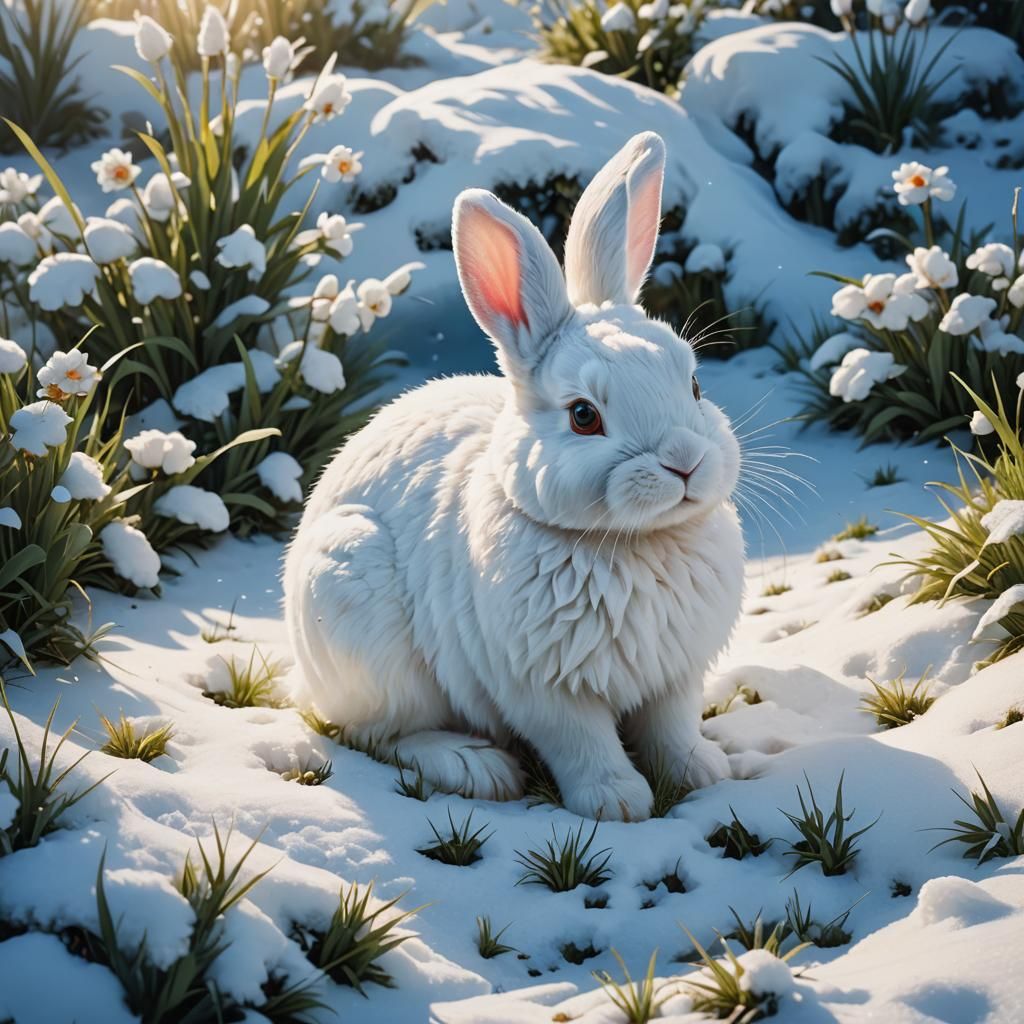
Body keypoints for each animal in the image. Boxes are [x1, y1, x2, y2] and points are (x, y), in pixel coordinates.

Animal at [283, 132, 745, 822]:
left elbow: (671, 729)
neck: (634, 544)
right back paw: (475, 767)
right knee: (379, 734)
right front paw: (617, 802)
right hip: (358, 618)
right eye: (584, 416)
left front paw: (703, 773)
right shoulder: (546, 691)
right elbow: (583, 743)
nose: (684, 462)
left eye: (693, 385)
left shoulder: (674, 677)